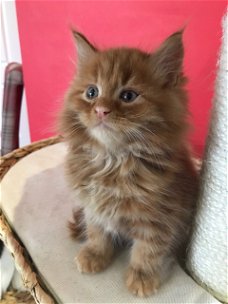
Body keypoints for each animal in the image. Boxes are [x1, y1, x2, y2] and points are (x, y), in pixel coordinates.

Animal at [60, 29, 198, 296]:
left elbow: (148, 249)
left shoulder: (159, 217)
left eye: (128, 96)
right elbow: (96, 231)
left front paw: (142, 277)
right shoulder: (92, 205)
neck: (112, 160)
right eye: (91, 92)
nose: (101, 110)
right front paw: (95, 254)